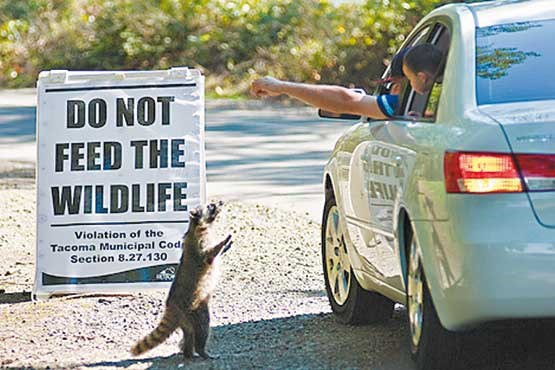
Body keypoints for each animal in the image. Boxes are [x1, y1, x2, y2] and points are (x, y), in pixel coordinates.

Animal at [131, 201, 232, 360]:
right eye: (211, 206)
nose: (221, 202)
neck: (199, 224)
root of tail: (172, 306)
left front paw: (225, 247)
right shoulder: (200, 242)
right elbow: (208, 256)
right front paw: (222, 243)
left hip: (187, 320)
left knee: (189, 334)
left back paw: (188, 353)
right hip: (196, 310)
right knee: (203, 328)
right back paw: (202, 351)